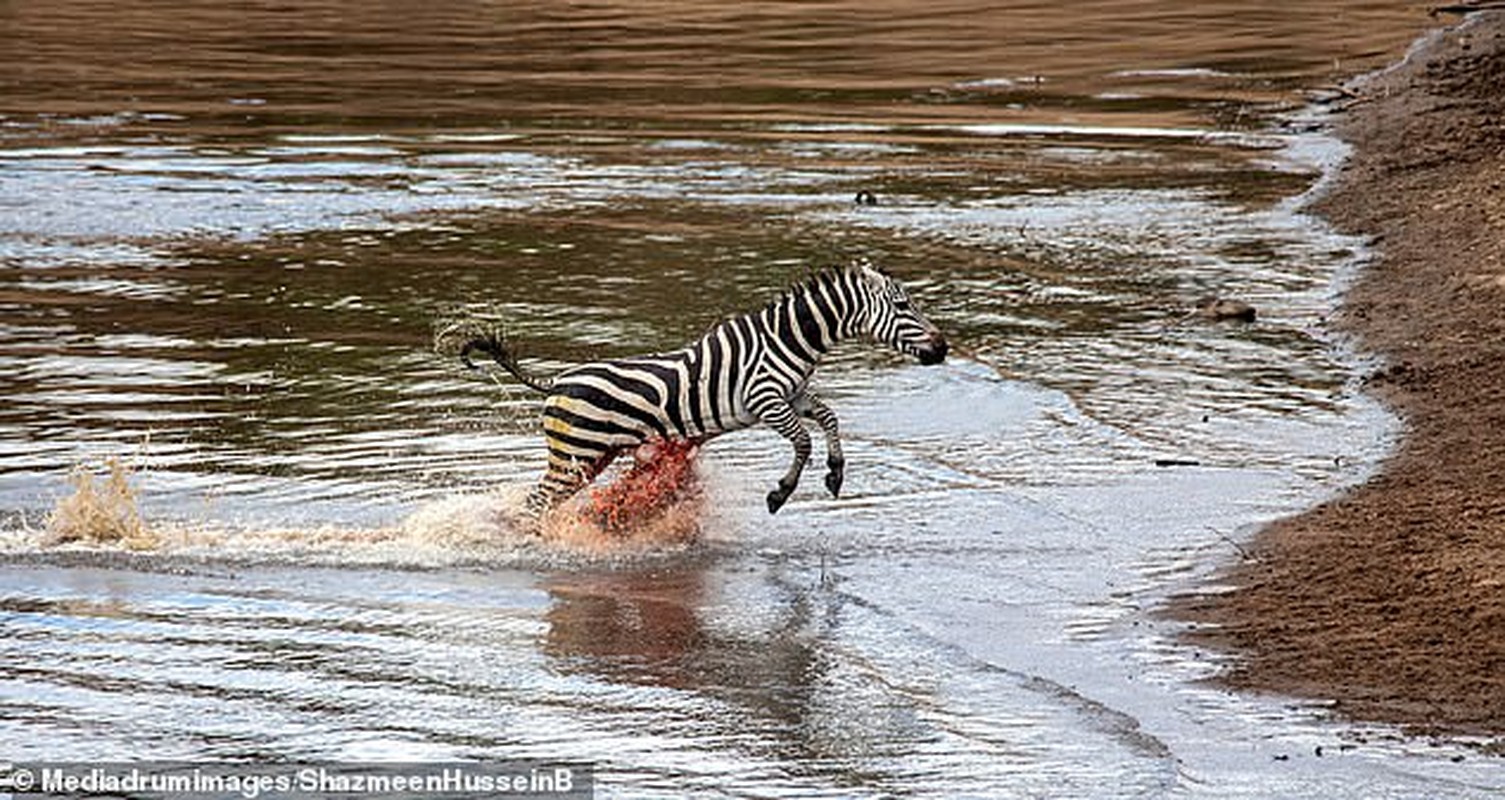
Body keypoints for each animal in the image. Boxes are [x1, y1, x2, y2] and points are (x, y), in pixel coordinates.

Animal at [445, 257, 945, 517]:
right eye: (904, 306)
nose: (942, 348)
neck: (788, 339)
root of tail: (556, 380)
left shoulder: (794, 395)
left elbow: (829, 417)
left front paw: (836, 473)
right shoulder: (765, 399)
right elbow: (803, 441)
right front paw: (780, 493)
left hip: (590, 457)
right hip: (576, 453)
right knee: (535, 504)